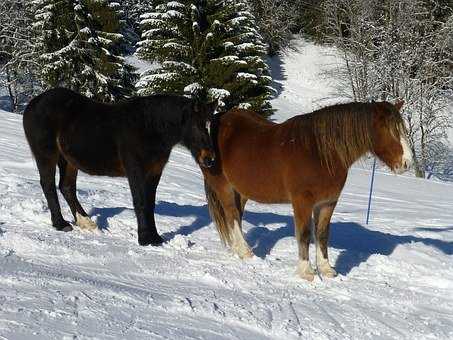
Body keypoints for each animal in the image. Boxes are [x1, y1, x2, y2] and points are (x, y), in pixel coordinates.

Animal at [23, 89, 215, 246]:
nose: (209, 159)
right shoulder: (136, 170)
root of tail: (34, 102)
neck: (149, 127)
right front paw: (145, 239)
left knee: (66, 187)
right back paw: (60, 223)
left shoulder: (154, 172)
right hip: (46, 155)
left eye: (210, 126)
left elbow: (150, 203)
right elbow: (140, 202)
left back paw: (86, 222)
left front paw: (155, 238)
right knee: (48, 185)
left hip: (68, 160)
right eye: (197, 125)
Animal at [203, 99, 412, 280]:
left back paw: (238, 249)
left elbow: (322, 234)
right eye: (388, 129)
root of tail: (220, 120)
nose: (407, 163)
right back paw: (245, 252)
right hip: (223, 187)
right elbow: (304, 234)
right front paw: (306, 272)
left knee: (236, 217)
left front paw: (327, 270)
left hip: (241, 191)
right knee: (231, 215)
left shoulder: (327, 203)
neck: (319, 153)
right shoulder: (302, 202)